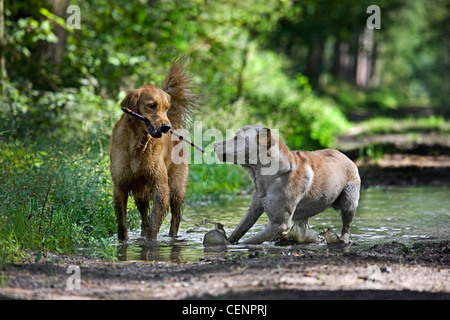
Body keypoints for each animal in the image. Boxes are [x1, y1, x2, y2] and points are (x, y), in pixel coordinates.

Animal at [110, 58, 198, 241]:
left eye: (166, 108)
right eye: (152, 105)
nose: (166, 127)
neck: (137, 144)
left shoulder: (161, 186)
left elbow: (154, 222)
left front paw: (151, 242)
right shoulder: (120, 186)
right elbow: (122, 224)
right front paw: (123, 241)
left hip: (176, 186)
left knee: (176, 217)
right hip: (140, 191)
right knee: (144, 217)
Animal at [213, 124, 360, 244]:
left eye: (236, 138)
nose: (214, 145)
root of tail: (345, 156)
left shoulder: (279, 224)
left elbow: (249, 240)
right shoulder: (254, 209)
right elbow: (239, 229)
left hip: (349, 200)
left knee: (347, 226)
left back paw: (342, 240)